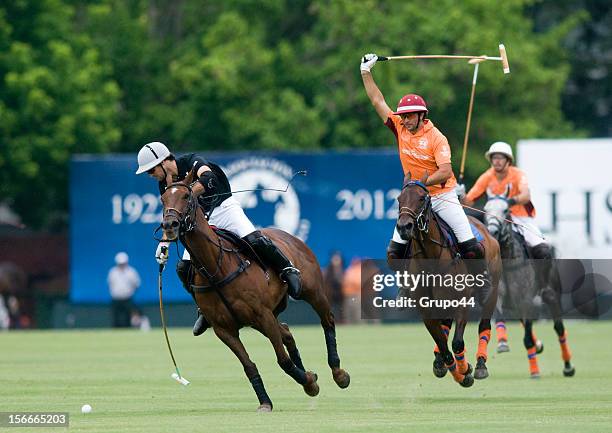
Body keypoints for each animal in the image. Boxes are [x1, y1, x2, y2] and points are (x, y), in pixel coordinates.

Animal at [159, 170, 350, 410]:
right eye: (163, 199)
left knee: (327, 320)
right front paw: (268, 401)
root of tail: (288, 235)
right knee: (286, 331)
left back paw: (339, 373)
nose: (170, 225)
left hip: (311, 291)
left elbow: (282, 360)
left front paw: (309, 383)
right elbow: (249, 365)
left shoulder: (263, 315)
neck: (216, 267)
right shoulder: (224, 329)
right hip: (264, 316)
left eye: (186, 196)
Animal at [394, 171, 500, 384]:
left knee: (484, 325)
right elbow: (442, 343)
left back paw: (480, 365)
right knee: (445, 327)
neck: (431, 256)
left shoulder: (462, 301)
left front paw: (465, 369)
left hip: (492, 292)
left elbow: (457, 342)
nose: (404, 227)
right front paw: (451, 368)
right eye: (399, 199)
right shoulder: (426, 309)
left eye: (422, 198)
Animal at [482, 191, 572, 376]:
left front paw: (535, 371)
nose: (492, 231)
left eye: (506, 209)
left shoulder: (526, 300)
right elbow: (499, 315)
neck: (507, 259)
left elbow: (527, 338)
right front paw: (502, 343)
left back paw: (568, 367)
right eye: (486, 209)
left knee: (559, 328)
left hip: (552, 294)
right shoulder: (499, 294)